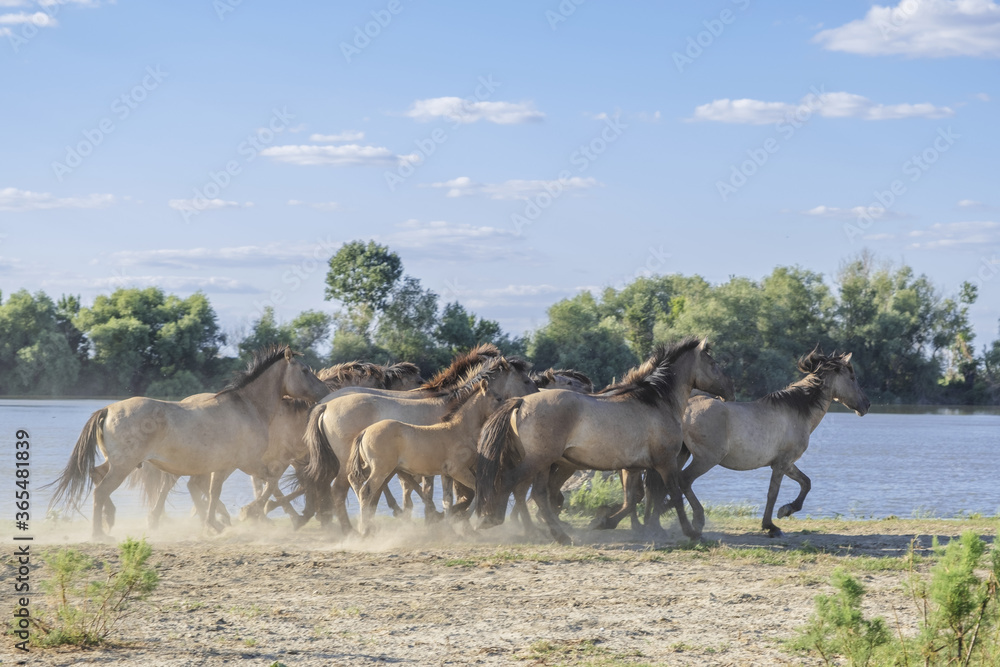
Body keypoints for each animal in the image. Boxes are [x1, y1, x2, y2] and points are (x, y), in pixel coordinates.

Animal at [48, 345, 330, 539]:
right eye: (305, 370)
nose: (325, 391)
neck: (248, 407)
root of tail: (107, 409)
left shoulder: (221, 466)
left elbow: (212, 492)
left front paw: (216, 523)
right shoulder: (242, 463)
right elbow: (266, 483)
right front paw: (242, 515)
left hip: (116, 463)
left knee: (96, 475)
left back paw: (110, 519)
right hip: (123, 466)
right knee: (100, 491)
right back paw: (100, 533)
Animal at [302, 348, 534, 532]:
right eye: (526, 380)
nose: (529, 402)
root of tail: (325, 405)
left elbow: (438, 493)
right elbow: (453, 493)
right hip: (348, 465)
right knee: (341, 491)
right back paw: (350, 530)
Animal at [475, 338, 734, 545]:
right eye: (713, 364)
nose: (730, 391)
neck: (656, 400)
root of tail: (521, 401)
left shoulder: (632, 468)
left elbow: (631, 500)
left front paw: (603, 522)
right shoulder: (665, 462)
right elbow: (676, 495)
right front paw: (691, 532)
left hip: (544, 463)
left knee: (537, 495)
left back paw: (560, 535)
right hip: (538, 460)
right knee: (512, 482)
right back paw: (492, 520)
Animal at [674, 347, 870, 538]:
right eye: (852, 378)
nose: (866, 405)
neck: (797, 412)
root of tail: (686, 409)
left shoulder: (786, 463)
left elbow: (806, 483)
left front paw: (786, 510)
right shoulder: (781, 464)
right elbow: (773, 494)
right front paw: (771, 525)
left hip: (683, 454)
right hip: (706, 459)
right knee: (683, 480)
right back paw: (697, 522)